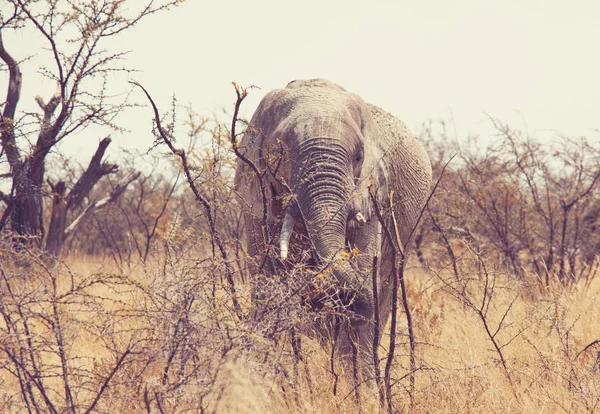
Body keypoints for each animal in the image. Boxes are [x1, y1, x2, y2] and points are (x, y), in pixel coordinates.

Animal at [233, 79, 432, 384]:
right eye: (281, 152)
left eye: (359, 156)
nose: (308, 277)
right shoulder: (256, 197)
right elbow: (266, 285)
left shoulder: (373, 195)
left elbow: (365, 276)